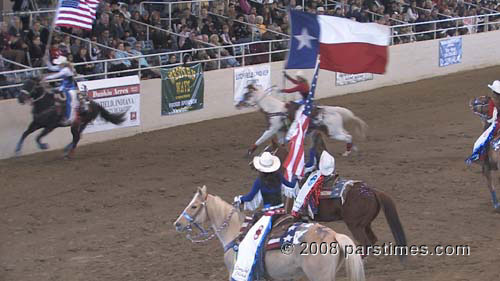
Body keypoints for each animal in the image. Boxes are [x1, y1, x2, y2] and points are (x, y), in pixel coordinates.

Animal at [234, 84, 368, 156]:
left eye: (247, 95)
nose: (237, 105)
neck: (273, 109)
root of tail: (332, 110)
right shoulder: (280, 131)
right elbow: (281, 143)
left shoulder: (272, 129)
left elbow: (260, 139)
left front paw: (248, 152)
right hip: (336, 130)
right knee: (348, 135)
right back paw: (352, 149)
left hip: (333, 132)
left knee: (348, 136)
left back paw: (347, 152)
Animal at [270, 132, 406, 260]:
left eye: (268, 150)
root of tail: (371, 191)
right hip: (366, 224)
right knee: (372, 240)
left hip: (355, 225)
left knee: (366, 243)